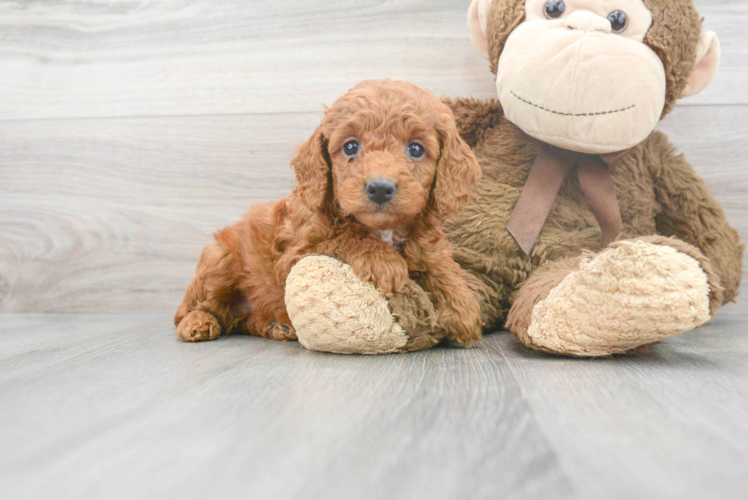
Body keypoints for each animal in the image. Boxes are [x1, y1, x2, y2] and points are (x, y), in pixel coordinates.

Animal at [175, 81, 482, 348]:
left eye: (416, 149)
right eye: (351, 146)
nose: (380, 188)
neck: (384, 228)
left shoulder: (426, 243)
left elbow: (440, 265)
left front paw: (461, 306)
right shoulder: (296, 253)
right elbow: (343, 236)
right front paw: (383, 260)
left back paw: (276, 326)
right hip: (219, 260)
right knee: (190, 310)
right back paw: (198, 323)